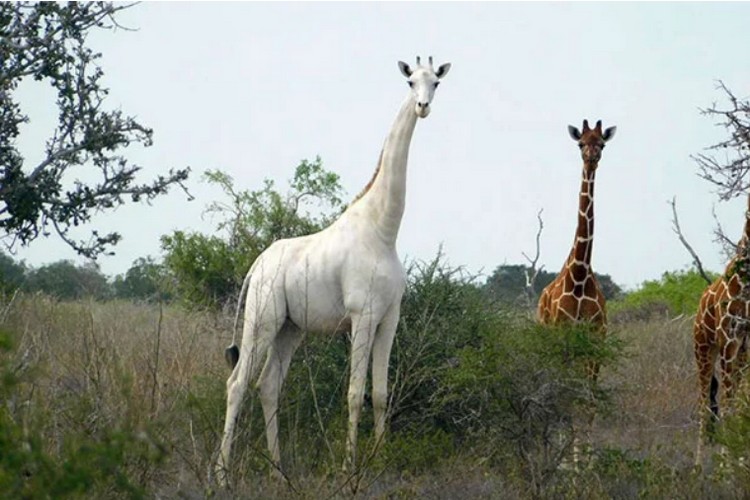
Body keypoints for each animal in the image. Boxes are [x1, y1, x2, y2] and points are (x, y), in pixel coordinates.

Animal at [215, 56, 451, 484]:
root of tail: (256, 265)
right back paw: (222, 476)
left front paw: (381, 462)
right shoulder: (362, 315)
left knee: (268, 385)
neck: (383, 230)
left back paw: (279, 472)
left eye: (436, 83)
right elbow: (355, 393)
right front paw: (348, 470)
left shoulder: (390, 317)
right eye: (410, 81)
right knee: (237, 383)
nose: (423, 107)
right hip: (262, 318)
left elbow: (381, 394)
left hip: (290, 328)